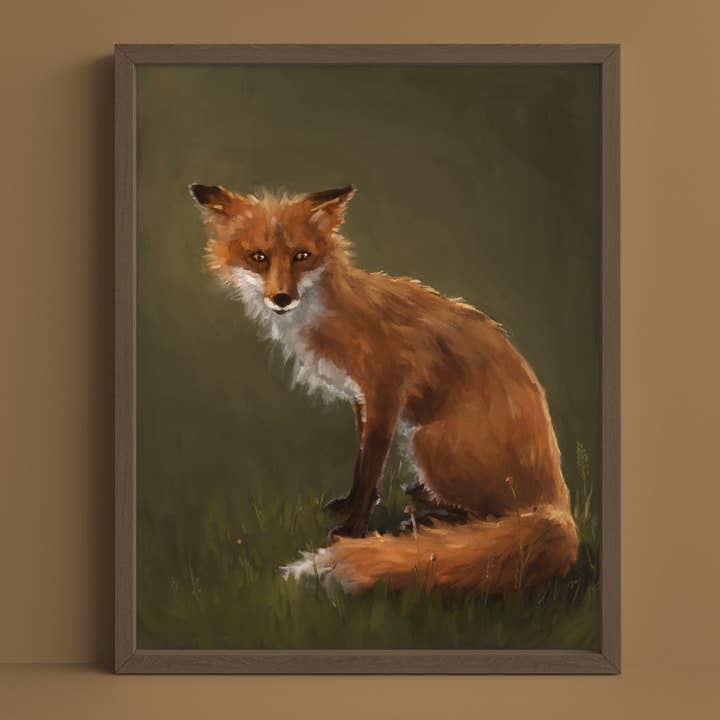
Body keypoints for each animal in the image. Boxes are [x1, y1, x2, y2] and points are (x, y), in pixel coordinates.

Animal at [189, 182, 579, 596]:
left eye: (302, 256)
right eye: (258, 257)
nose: (282, 299)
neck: (331, 313)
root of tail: (558, 501)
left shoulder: (385, 394)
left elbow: (370, 468)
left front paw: (353, 530)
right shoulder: (361, 398)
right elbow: (362, 465)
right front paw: (350, 505)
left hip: (425, 441)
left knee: (497, 517)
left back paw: (431, 519)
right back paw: (427, 501)